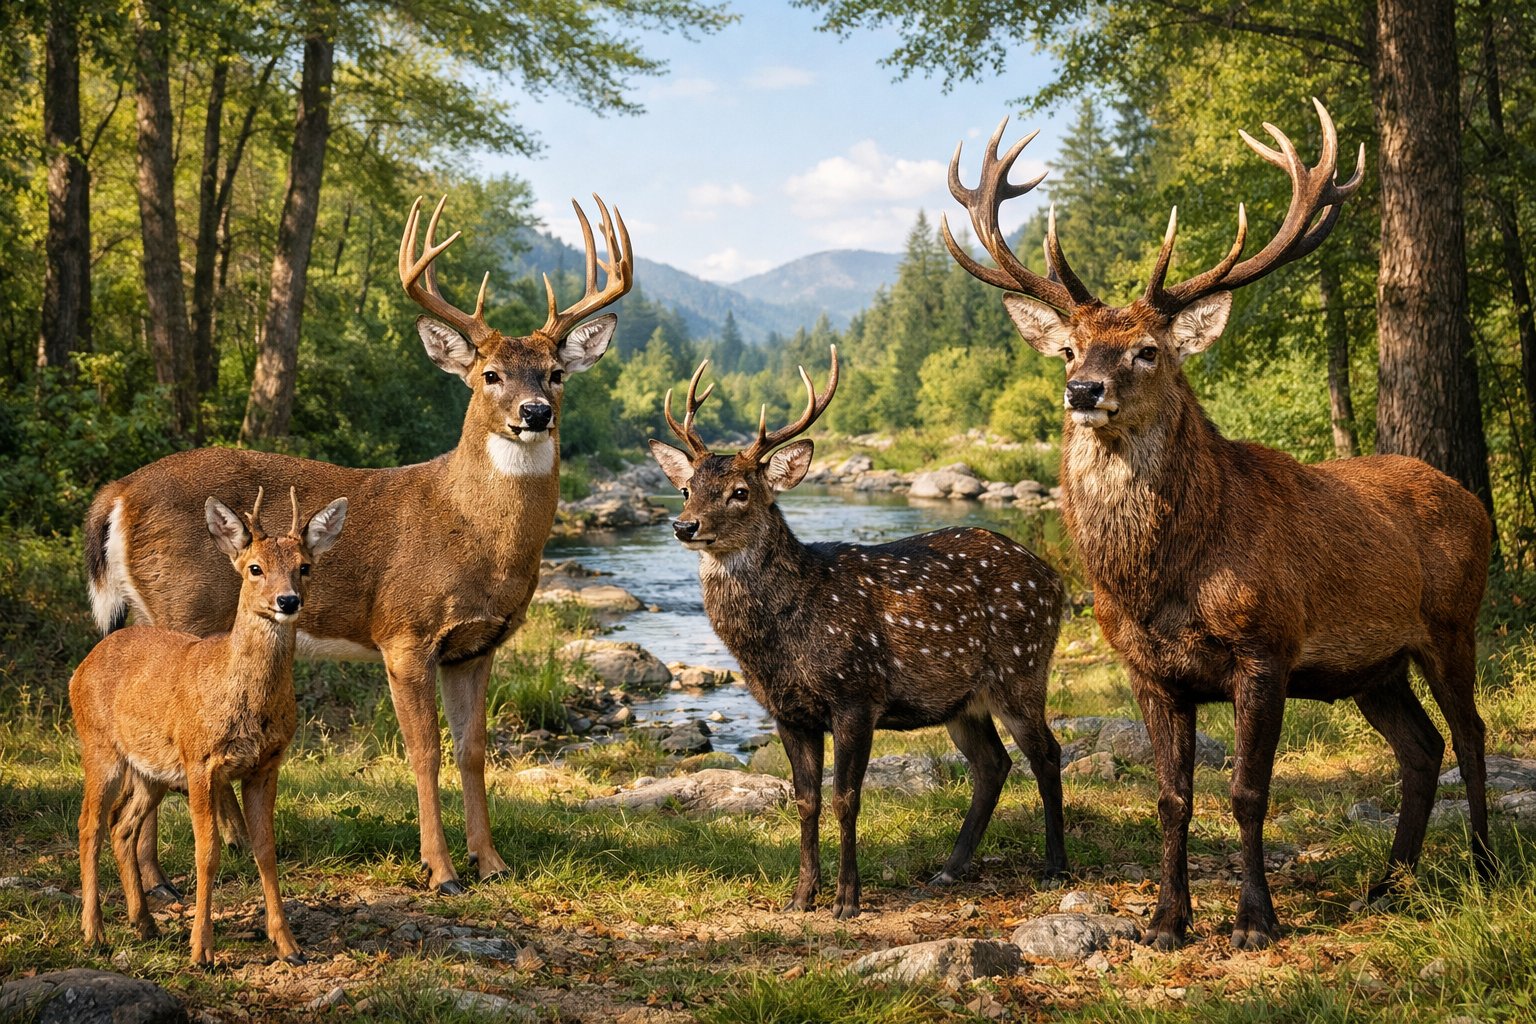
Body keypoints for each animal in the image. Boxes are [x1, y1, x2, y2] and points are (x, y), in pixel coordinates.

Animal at [73, 487, 347, 966]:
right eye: (255, 567)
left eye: (304, 566)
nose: (288, 601)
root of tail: (80, 669)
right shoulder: (201, 761)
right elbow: (208, 853)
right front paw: (202, 950)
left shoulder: (266, 765)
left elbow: (265, 850)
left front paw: (289, 946)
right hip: (100, 747)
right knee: (89, 824)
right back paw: (95, 933)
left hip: (151, 769)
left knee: (122, 825)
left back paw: (144, 925)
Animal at [83, 194, 632, 897]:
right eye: (489, 374)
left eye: (558, 372)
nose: (535, 412)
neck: (475, 536)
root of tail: (117, 493)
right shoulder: (404, 631)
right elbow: (423, 752)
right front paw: (441, 870)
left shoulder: (476, 644)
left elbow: (472, 750)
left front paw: (492, 862)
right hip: (181, 605)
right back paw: (167, 875)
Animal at [648, 348, 1067, 919]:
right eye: (686, 488)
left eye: (740, 492)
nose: (684, 525)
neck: (783, 642)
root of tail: (1055, 579)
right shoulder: (787, 712)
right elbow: (807, 799)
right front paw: (802, 895)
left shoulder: (856, 695)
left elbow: (847, 798)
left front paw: (848, 899)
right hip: (963, 700)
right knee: (993, 764)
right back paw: (948, 869)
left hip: (1023, 669)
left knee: (1046, 754)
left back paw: (1056, 867)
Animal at [943, 99, 1493, 950]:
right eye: (1068, 348)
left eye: (1147, 350)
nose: (1082, 389)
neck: (1159, 580)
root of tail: (1476, 503)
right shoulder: (1146, 668)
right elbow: (1172, 798)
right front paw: (1166, 921)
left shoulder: (1266, 647)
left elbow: (1247, 792)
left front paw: (1256, 922)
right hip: (1375, 667)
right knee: (1422, 746)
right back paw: (1387, 885)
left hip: (1451, 623)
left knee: (1471, 736)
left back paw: (1484, 871)